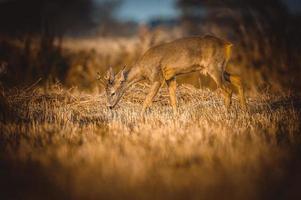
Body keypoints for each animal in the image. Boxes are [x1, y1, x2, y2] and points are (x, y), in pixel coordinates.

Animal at [98, 34, 246, 114]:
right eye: (105, 92)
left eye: (113, 93)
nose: (109, 106)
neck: (143, 69)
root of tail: (227, 44)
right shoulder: (170, 77)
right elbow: (173, 101)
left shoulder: (157, 78)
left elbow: (147, 100)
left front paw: (140, 118)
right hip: (219, 67)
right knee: (238, 79)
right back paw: (244, 110)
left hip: (214, 67)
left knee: (227, 90)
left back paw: (226, 113)